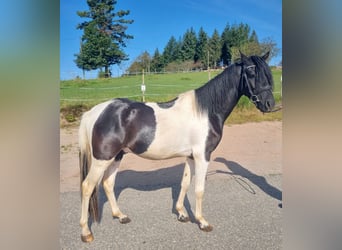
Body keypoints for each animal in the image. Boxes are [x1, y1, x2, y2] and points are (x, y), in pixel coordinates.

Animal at [77, 51, 276, 242]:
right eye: (251, 72)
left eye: (268, 72)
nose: (270, 104)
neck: (206, 111)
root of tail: (94, 112)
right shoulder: (203, 155)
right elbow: (199, 189)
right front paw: (202, 222)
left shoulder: (190, 156)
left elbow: (185, 183)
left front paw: (181, 213)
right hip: (102, 158)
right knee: (87, 186)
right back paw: (86, 232)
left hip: (116, 156)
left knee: (108, 183)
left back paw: (120, 215)